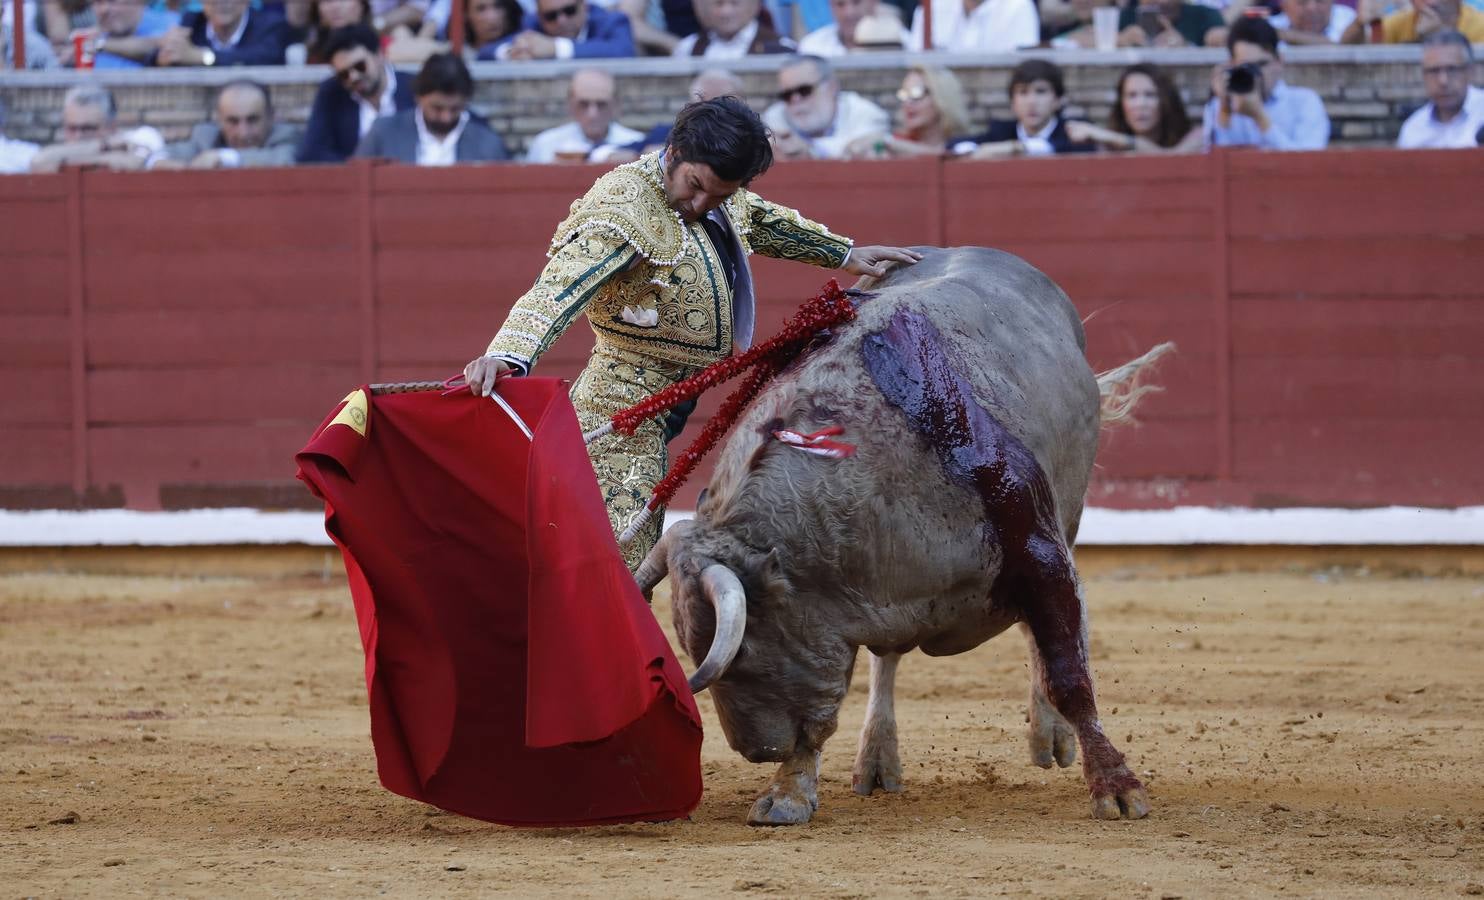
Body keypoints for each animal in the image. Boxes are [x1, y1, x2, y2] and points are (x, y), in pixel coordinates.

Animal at [638, 245, 1169, 825]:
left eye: (745, 649)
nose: (755, 750)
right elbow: (827, 704)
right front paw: (788, 792)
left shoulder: (1041, 553)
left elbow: (1068, 671)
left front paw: (1116, 786)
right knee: (886, 660)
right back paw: (876, 760)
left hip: (1067, 519)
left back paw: (1049, 737)